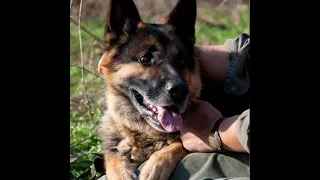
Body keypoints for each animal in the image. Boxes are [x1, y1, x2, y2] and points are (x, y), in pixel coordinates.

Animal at [97, 0, 250, 179]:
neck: (144, 132)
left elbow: (178, 144)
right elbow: (112, 159)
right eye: (145, 59)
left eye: (182, 62)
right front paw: (121, 172)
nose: (180, 91)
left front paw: (156, 165)